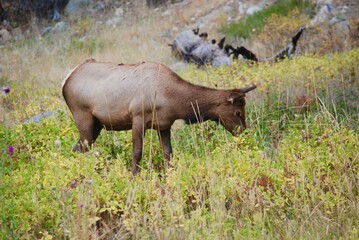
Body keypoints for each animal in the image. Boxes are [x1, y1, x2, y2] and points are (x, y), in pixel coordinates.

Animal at [63, 58, 258, 173]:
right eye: (238, 112)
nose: (244, 132)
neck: (172, 100)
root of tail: (66, 80)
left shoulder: (163, 125)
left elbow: (168, 154)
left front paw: (169, 174)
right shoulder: (138, 117)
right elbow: (137, 152)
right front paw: (133, 176)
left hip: (97, 124)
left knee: (76, 148)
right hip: (83, 116)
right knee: (83, 149)